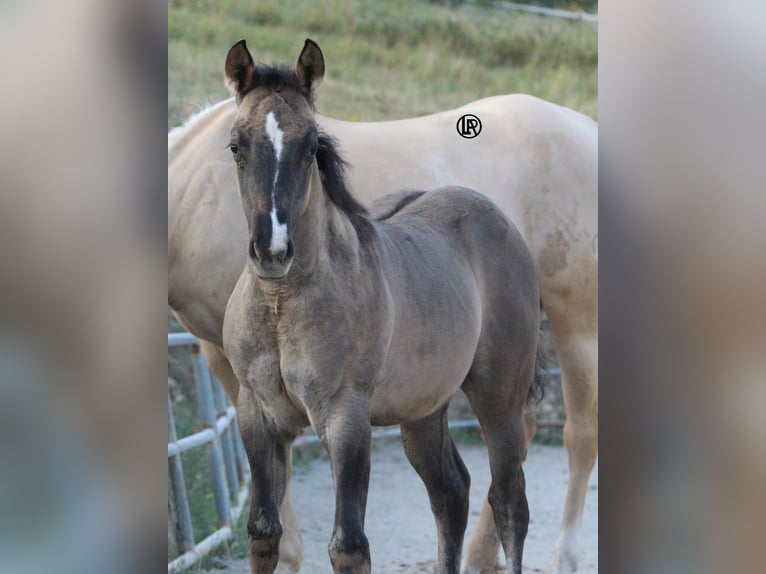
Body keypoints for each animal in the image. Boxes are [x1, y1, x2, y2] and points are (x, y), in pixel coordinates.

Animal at [168, 41, 597, 574]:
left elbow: (349, 544)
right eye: (236, 146)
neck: (281, 307)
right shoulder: (258, 415)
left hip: (512, 379)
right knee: (451, 492)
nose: (273, 249)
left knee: (515, 496)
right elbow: (264, 533)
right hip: (425, 409)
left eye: (312, 146)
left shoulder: (346, 419)